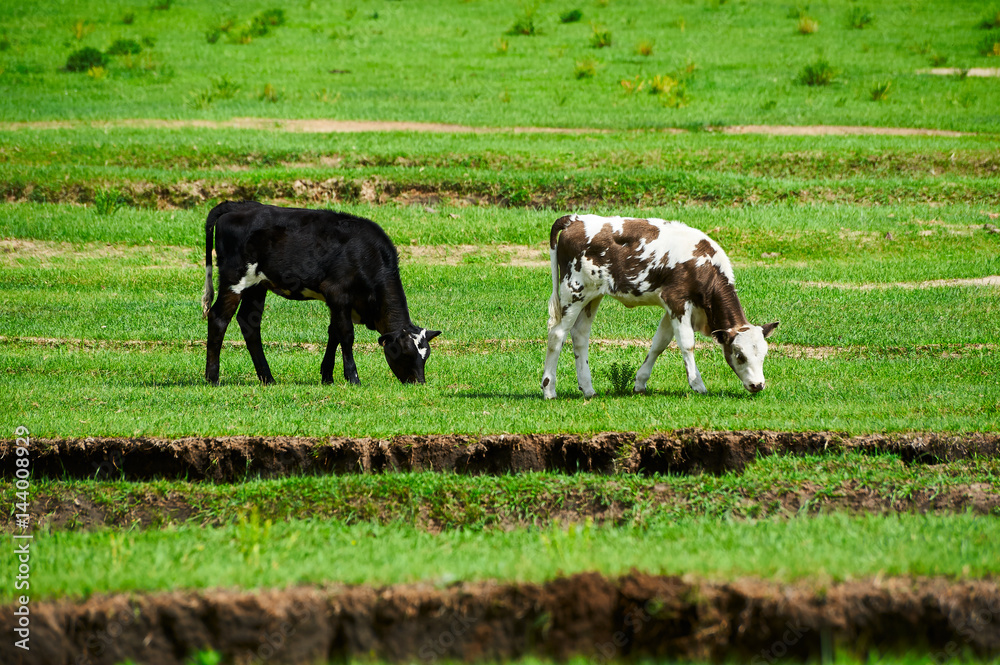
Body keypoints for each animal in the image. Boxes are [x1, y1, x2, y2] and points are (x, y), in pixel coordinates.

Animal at [201, 201, 440, 384]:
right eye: (403, 352)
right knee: (219, 318)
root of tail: (239, 205)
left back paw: (267, 378)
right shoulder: (338, 294)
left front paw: (327, 376)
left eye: (426, 356)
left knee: (249, 323)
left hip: (257, 286)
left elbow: (333, 333)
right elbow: (346, 334)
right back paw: (213, 378)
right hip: (234, 279)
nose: (419, 382)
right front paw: (353, 377)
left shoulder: (337, 302)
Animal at [544, 214, 776, 400]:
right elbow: (687, 343)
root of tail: (575, 219)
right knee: (557, 334)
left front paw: (640, 382)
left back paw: (588, 389)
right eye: (739, 355)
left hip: (592, 296)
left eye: (764, 355)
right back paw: (549, 390)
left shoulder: (672, 308)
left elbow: (659, 343)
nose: (758, 385)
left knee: (580, 335)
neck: (703, 265)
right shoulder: (677, 301)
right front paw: (697, 384)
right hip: (573, 291)